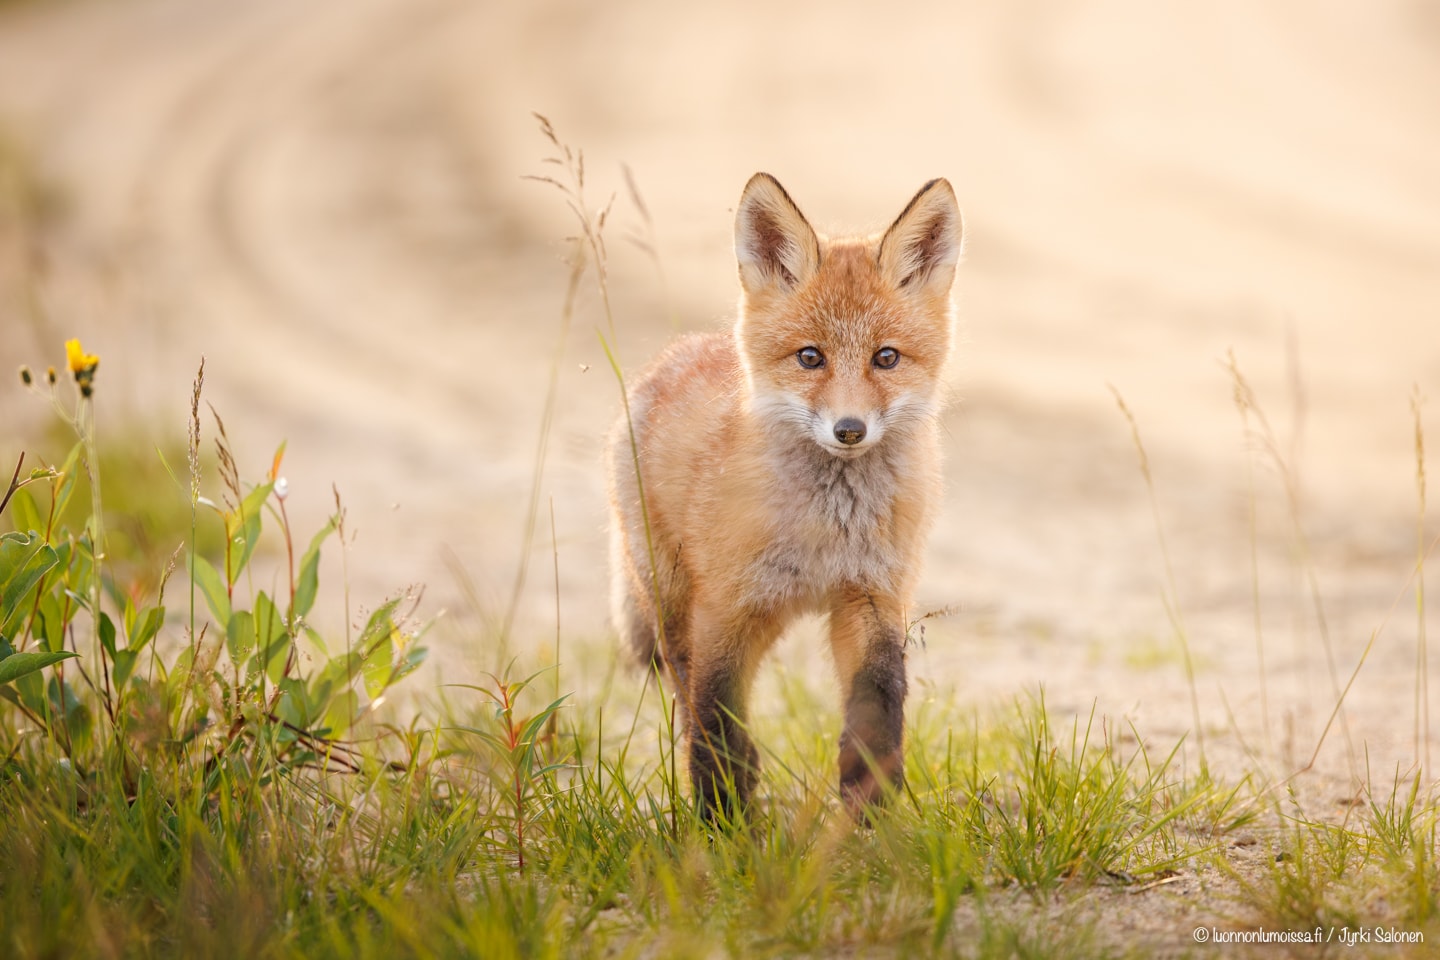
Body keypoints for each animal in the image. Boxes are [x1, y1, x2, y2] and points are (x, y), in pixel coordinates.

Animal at [601, 172, 961, 817]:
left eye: (886, 357)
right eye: (810, 357)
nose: (850, 430)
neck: (828, 529)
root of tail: (675, 355)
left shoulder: (871, 597)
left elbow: (880, 703)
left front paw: (872, 810)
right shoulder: (723, 609)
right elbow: (715, 717)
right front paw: (721, 819)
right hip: (677, 604)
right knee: (689, 696)